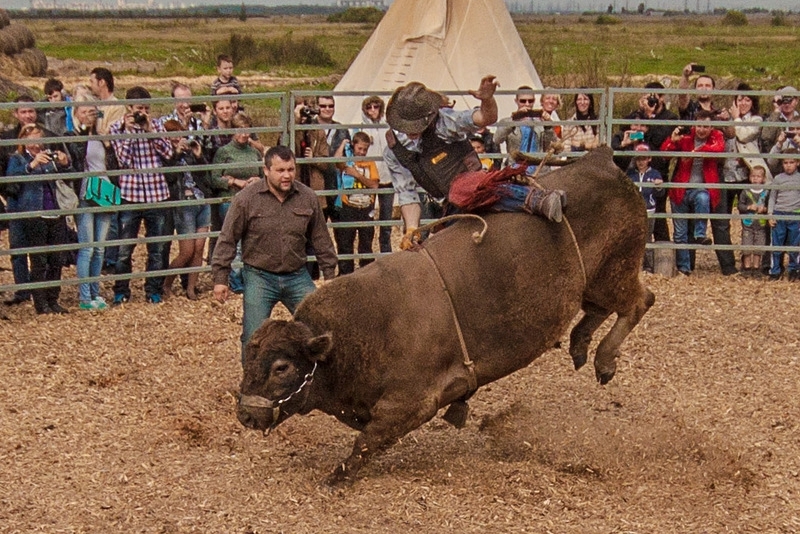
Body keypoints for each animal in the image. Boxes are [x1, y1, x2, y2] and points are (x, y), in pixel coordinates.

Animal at [234, 149, 652, 488]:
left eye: (282, 367)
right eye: (248, 357)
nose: (245, 415)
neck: (352, 335)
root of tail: (600, 159)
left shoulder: (411, 402)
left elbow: (367, 442)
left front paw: (336, 478)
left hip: (615, 271)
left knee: (639, 301)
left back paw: (604, 359)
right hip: (594, 282)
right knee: (598, 310)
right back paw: (581, 344)